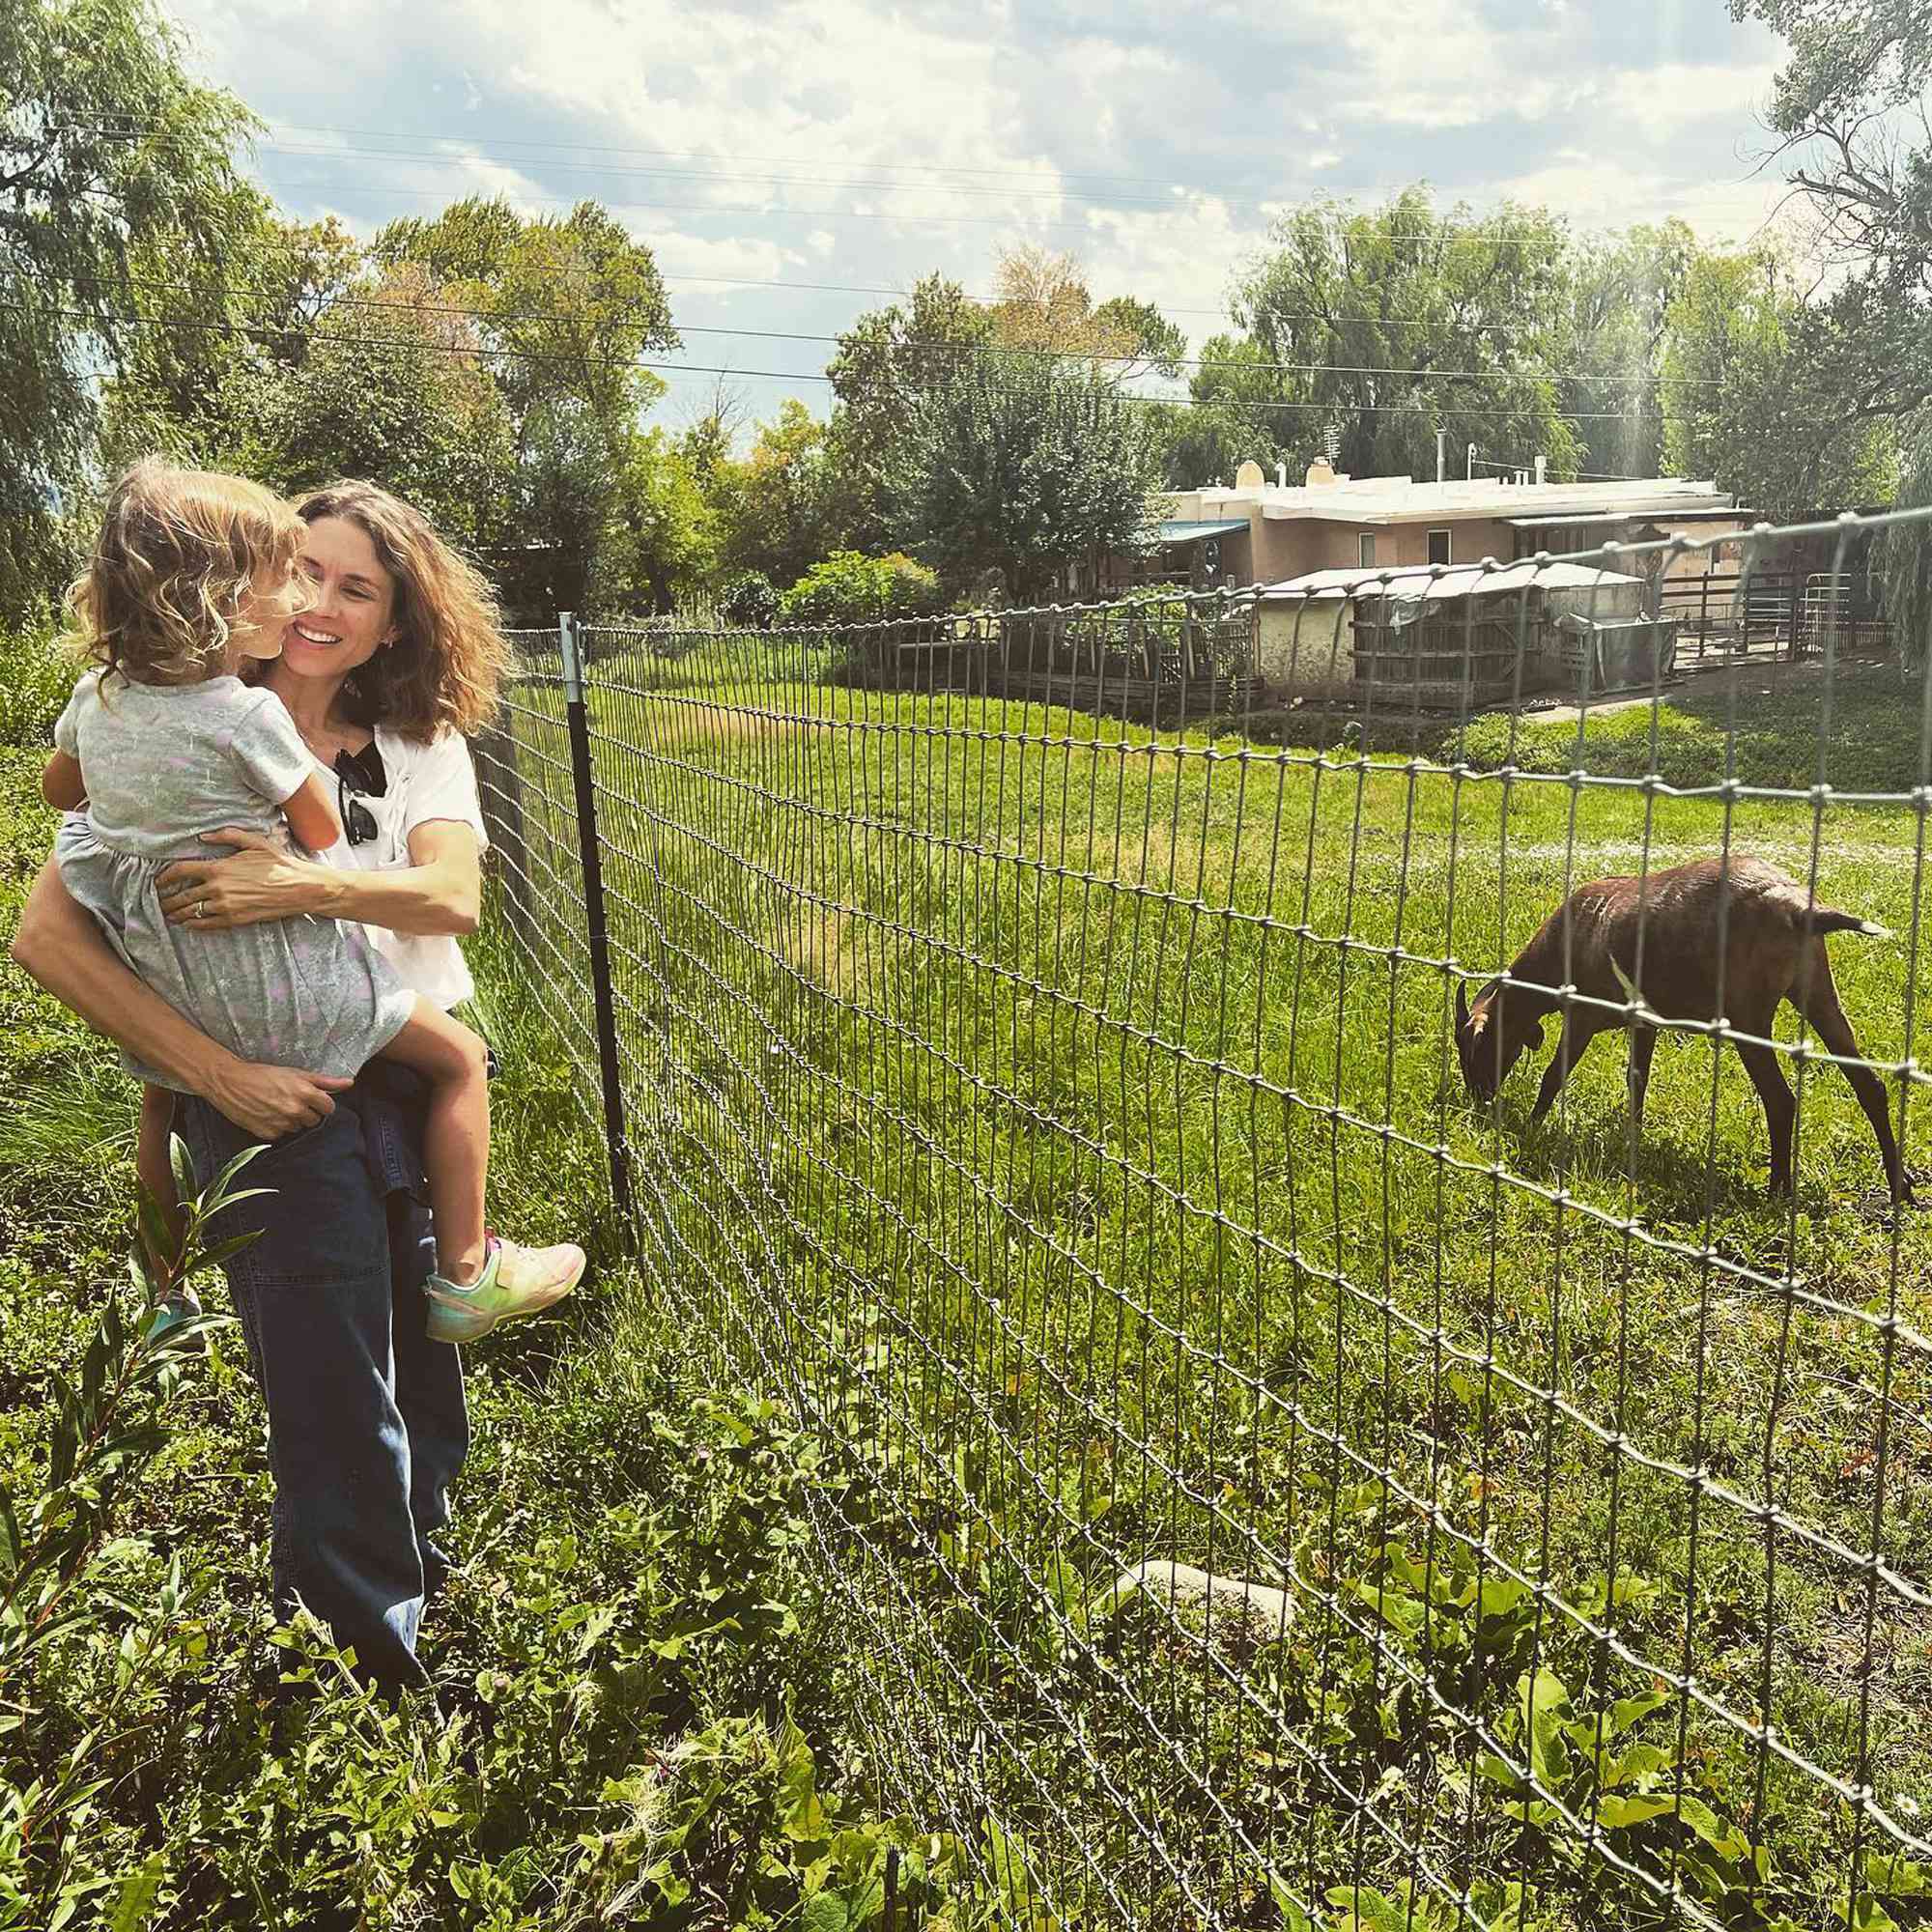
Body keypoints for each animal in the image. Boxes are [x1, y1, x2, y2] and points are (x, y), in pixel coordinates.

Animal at [1453, 858, 1909, 1198]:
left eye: (1472, 1050)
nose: (1477, 1099)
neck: (1570, 935)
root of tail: (1796, 904)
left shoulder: (1581, 1016)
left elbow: (1553, 1075)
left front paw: (1532, 1126)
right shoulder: (1645, 1024)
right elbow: (1636, 1081)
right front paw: (1631, 1140)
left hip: (1748, 1017)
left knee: (1781, 1099)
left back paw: (1778, 1189)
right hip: (1818, 996)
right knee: (1870, 1086)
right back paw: (1900, 1185)